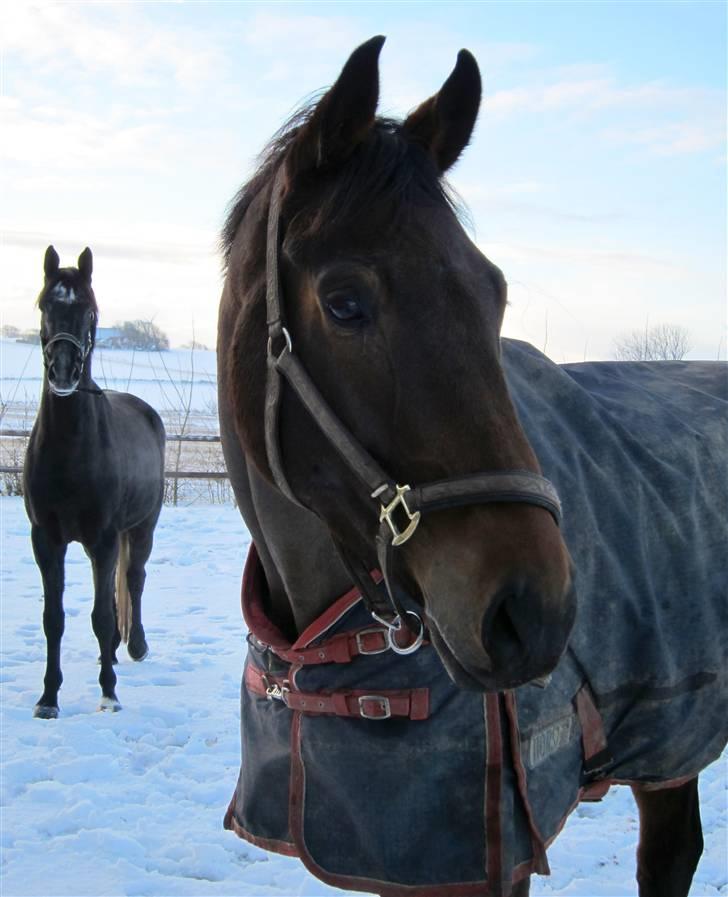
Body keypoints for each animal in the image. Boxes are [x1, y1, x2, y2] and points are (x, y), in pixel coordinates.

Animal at [24, 247, 165, 720]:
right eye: (45, 305)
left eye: (89, 310)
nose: (63, 373)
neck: (70, 452)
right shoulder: (46, 539)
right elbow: (54, 619)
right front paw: (48, 698)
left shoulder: (103, 540)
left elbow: (102, 617)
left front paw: (109, 693)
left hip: (141, 528)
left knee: (134, 580)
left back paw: (134, 646)